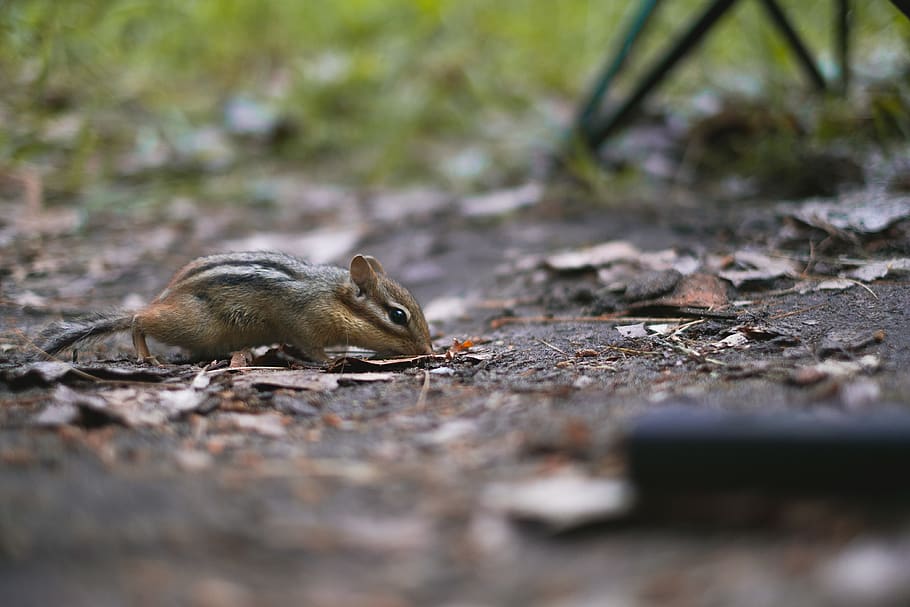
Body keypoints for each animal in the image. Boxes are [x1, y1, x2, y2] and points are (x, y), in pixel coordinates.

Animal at [35, 251, 434, 363]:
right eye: (398, 315)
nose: (430, 350)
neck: (330, 295)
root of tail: (165, 295)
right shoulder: (302, 321)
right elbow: (311, 347)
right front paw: (330, 360)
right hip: (192, 322)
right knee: (137, 318)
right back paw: (146, 355)